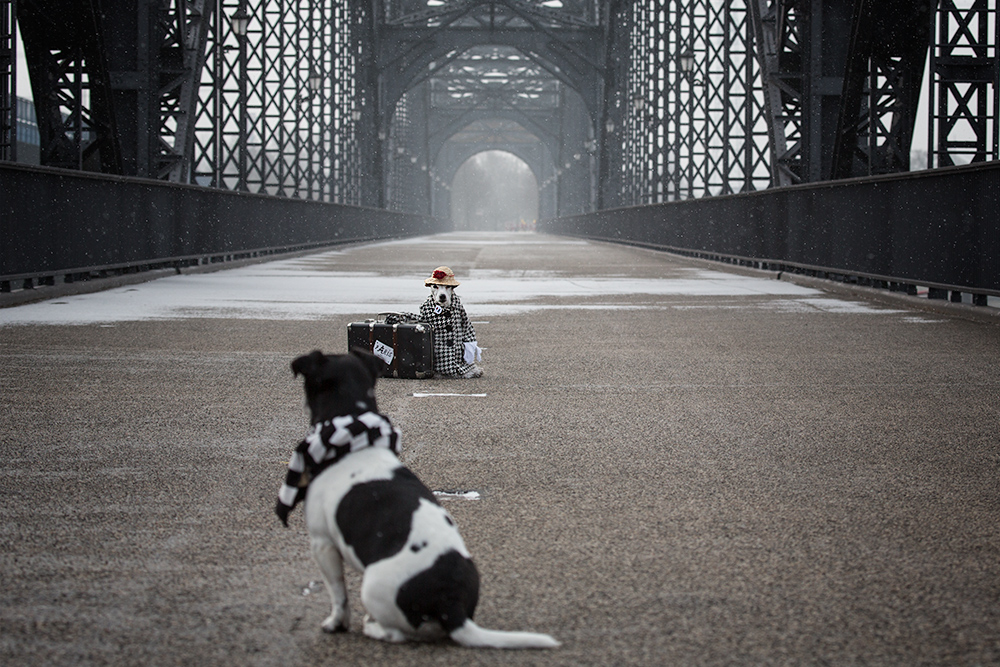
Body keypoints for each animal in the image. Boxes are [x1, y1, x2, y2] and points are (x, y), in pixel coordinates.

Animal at [278, 350, 560, 652]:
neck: (353, 440)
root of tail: (452, 608)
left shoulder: (322, 544)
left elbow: (338, 595)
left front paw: (335, 624)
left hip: (371, 587)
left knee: (397, 633)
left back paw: (373, 627)